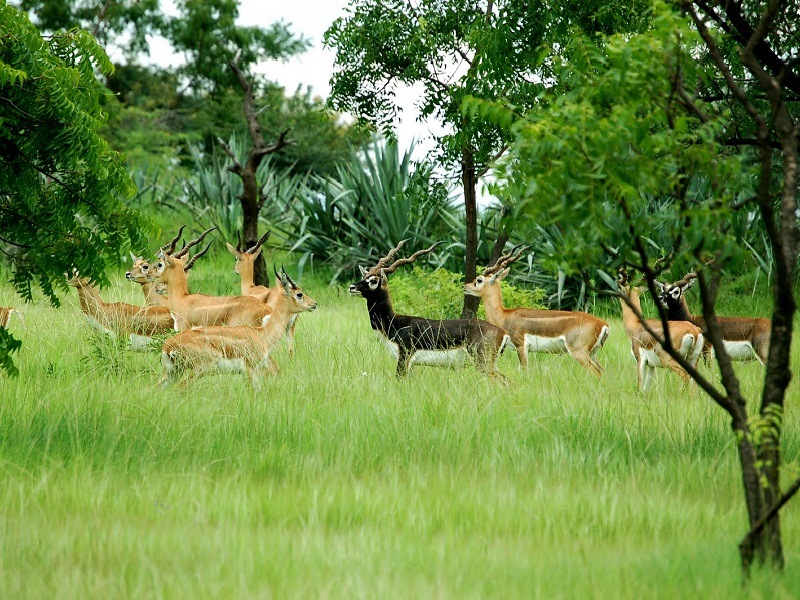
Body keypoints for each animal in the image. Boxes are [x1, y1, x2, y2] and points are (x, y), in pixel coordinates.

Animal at [158, 268, 318, 390]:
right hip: (200, 369)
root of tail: (168, 346)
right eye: (299, 294)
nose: (314, 304)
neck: (262, 334)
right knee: (181, 387)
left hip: (172, 372)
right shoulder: (249, 369)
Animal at [346, 240, 510, 378]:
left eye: (373, 281)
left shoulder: (404, 357)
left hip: (483, 363)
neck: (394, 322)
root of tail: (502, 332)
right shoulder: (411, 364)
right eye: (364, 276)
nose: (352, 287)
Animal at [462, 246, 608, 378]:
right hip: (593, 353)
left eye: (479, 280)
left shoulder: (522, 346)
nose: (465, 286)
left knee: (596, 373)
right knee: (602, 371)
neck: (504, 315)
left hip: (579, 352)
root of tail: (603, 324)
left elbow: (525, 372)